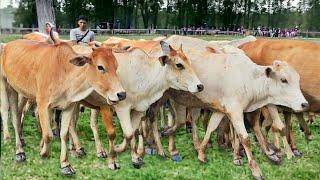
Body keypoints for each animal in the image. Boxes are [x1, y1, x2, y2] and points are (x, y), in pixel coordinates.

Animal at [0, 37, 125, 175]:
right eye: (100, 67)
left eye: (116, 66)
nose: (121, 94)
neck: (63, 72)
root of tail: (7, 45)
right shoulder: (42, 104)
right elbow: (48, 134)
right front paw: (43, 152)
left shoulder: (68, 107)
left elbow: (64, 134)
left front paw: (65, 164)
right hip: (6, 86)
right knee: (9, 114)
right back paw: (17, 149)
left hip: (21, 92)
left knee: (17, 115)